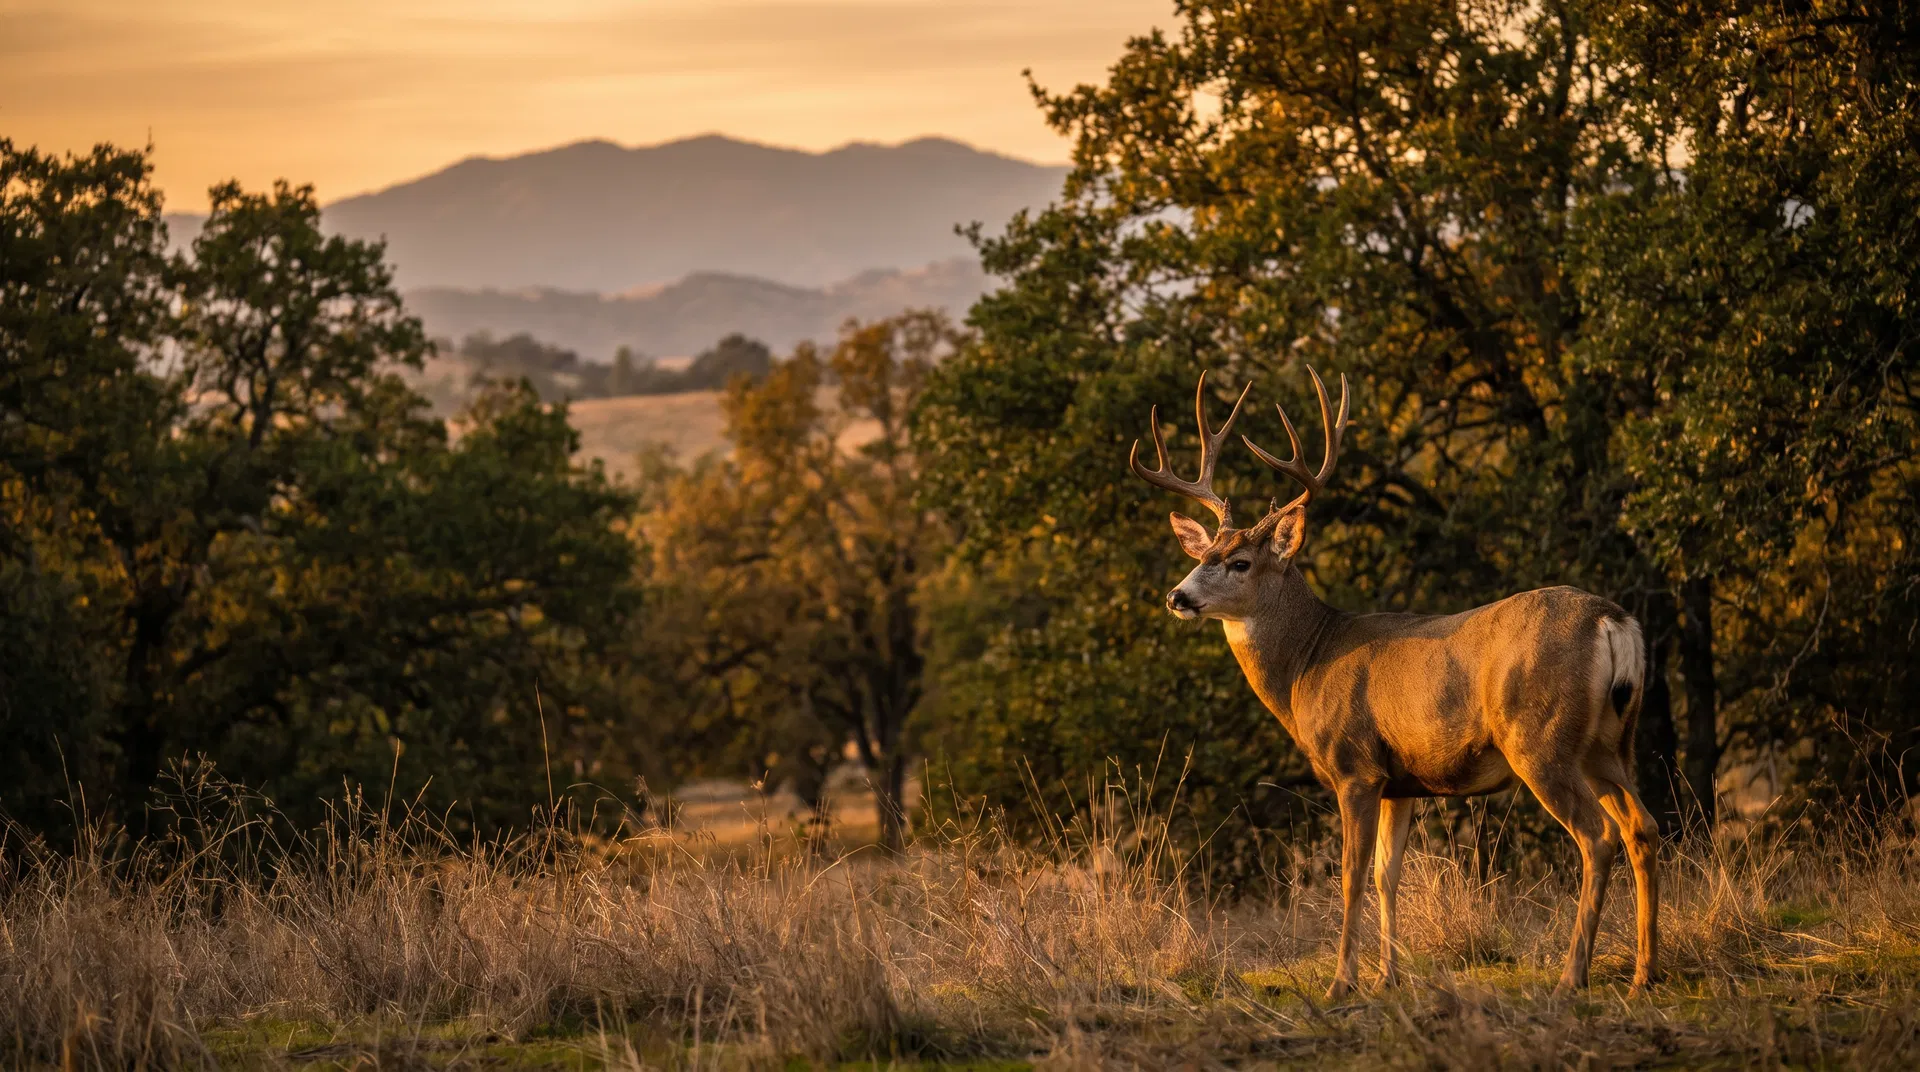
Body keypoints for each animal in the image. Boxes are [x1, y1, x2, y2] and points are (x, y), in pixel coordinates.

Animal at [1129, 368, 1659, 998]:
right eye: (1203, 552)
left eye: (1240, 563)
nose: (1177, 596)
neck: (1308, 662)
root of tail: (1613, 620)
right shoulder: (1401, 781)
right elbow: (1388, 874)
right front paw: (1387, 977)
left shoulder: (1354, 766)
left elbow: (1352, 877)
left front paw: (1342, 983)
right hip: (1610, 743)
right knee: (1643, 827)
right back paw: (1644, 973)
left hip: (1541, 740)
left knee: (1597, 836)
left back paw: (1572, 977)